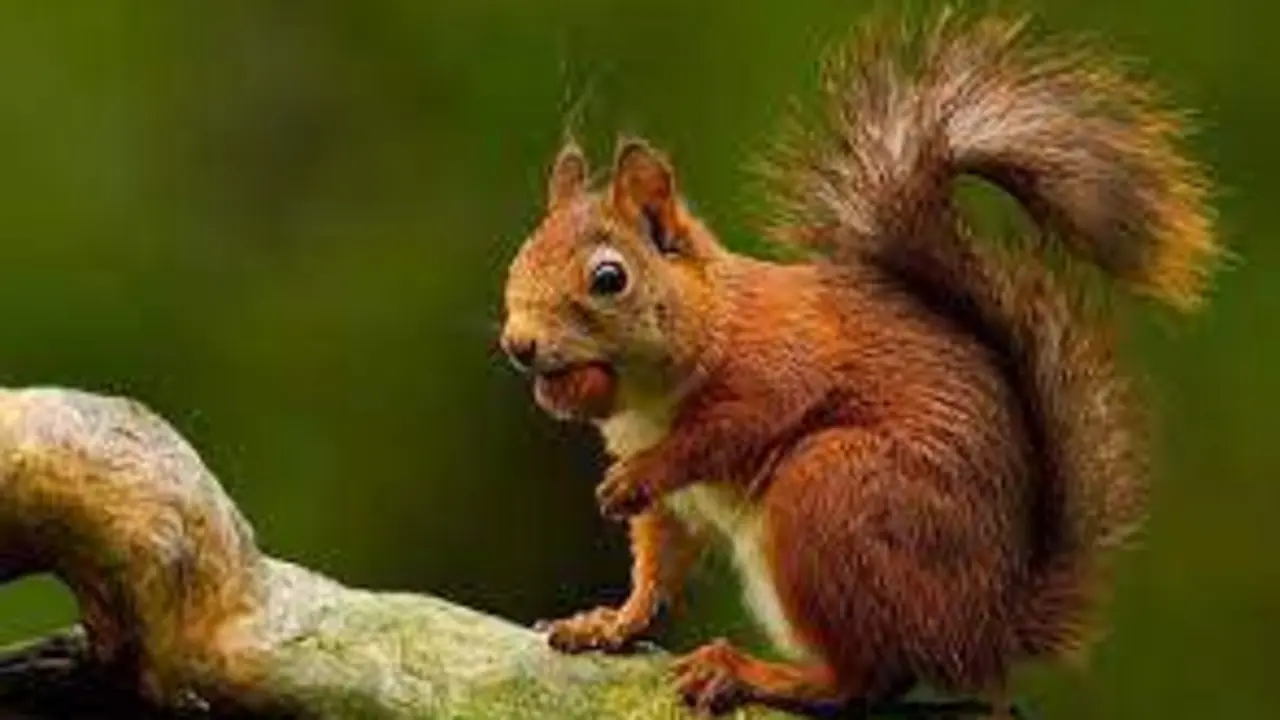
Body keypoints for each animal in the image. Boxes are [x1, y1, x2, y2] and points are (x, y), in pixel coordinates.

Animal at [500, 9, 1219, 717]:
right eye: (518, 260)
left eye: (609, 278)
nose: (518, 345)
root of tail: (988, 629)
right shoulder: (675, 509)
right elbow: (656, 568)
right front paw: (608, 624)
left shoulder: (777, 363)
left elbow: (729, 427)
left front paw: (636, 476)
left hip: (830, 492)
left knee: (860, 680)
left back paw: (745, 671)